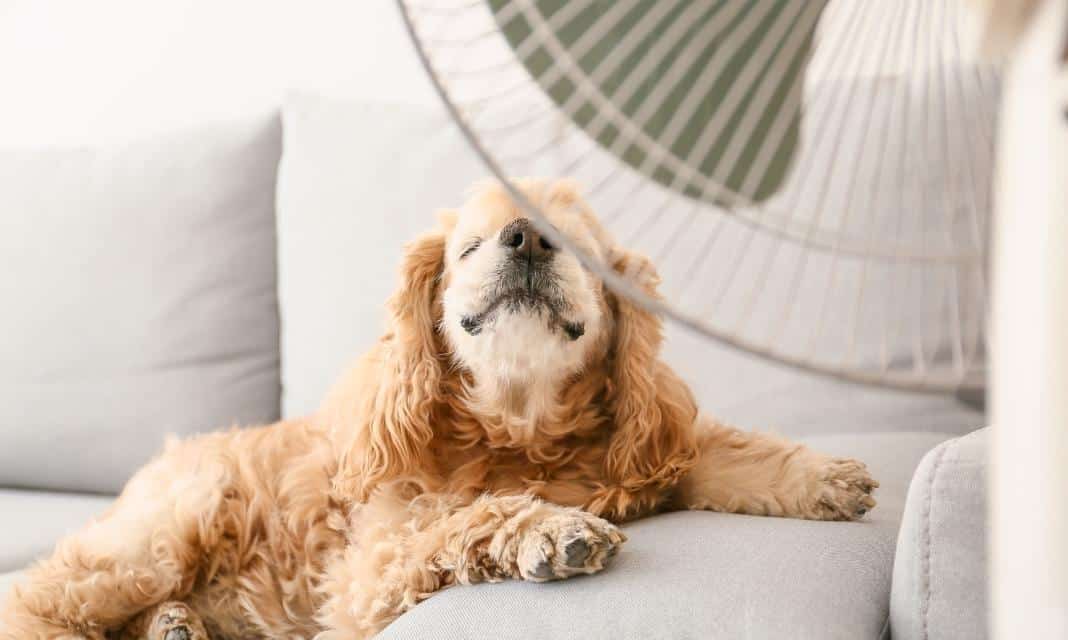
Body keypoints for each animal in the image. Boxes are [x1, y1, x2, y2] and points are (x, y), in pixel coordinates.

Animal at [0, 179, 875, 640]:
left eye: (575, 245)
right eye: (470, 248)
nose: (525, 238)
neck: (521, 429)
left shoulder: (647, 447)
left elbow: (731, 452)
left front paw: (825, 478)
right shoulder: (368, 571)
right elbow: (467, 517)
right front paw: (550, 533)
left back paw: (177, 625)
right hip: (170, 525)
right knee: (40, 599)